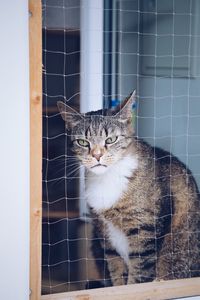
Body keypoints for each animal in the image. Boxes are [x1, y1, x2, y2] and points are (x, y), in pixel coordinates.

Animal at [56, 91, 200, 286]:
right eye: (82, 142)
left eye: (111, 139)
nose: (97, 156)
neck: (107, 179)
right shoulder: (105, 236)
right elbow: (117, 272)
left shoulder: (145, 232)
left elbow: (138, 275)